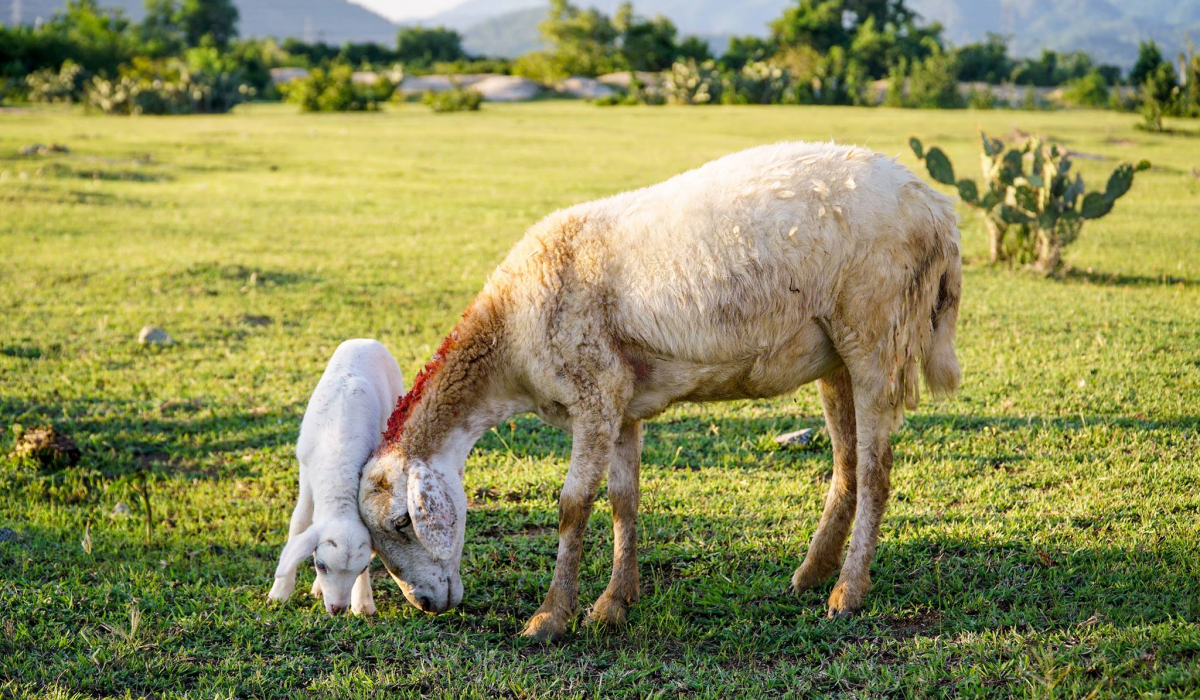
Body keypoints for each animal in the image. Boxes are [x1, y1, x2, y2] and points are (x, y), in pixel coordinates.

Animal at [266, 338, 405, 614]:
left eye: (362, 568)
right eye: (320, 565)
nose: (337, 609)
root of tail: (366, 340)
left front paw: (363, 604)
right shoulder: (306, 472)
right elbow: (298, 524)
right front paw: (279, 593)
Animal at [355, 139, 964, 638]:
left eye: (403, 522)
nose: (427, 605)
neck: (510, 340)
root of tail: (938, 209)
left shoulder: (595, 391)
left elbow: (573, 505)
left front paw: (551, 617)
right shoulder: (622, 402)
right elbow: (623, 500)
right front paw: (614, 603)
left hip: (876, 331)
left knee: (876, 471)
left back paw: (848, 591)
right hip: (835, 352)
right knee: (847, 466)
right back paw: (813, 573)